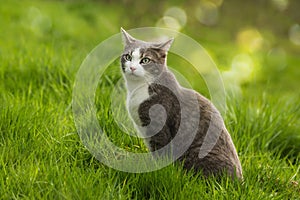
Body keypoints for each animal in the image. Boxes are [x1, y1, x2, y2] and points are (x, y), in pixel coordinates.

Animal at [120, 28, 244, 180]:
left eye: (145, 60)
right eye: (128, 57)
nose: (132, 67)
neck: (140, 88)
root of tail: (239, 181)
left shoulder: (158, 125)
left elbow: (160, 151)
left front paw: (156, 171)